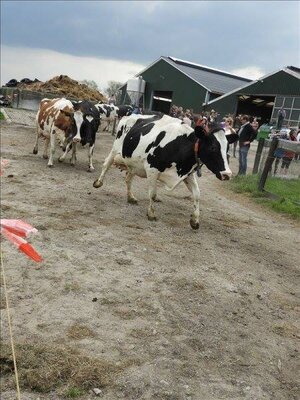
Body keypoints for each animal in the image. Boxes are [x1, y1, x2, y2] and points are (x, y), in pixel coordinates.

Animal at [92, 114, 238, 230]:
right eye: (213, 147)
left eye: (227, 149)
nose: (227, 174)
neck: (180, 145)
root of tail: (130, 115)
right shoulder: (152, 169)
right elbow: (152, 193)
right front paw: (151, 213)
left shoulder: (187, 174)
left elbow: (197, 195)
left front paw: (195, 220)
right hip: (115, 149)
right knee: (106, 165)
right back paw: (98, 182)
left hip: (133, 164)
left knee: (128, 179)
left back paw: (131, 197)